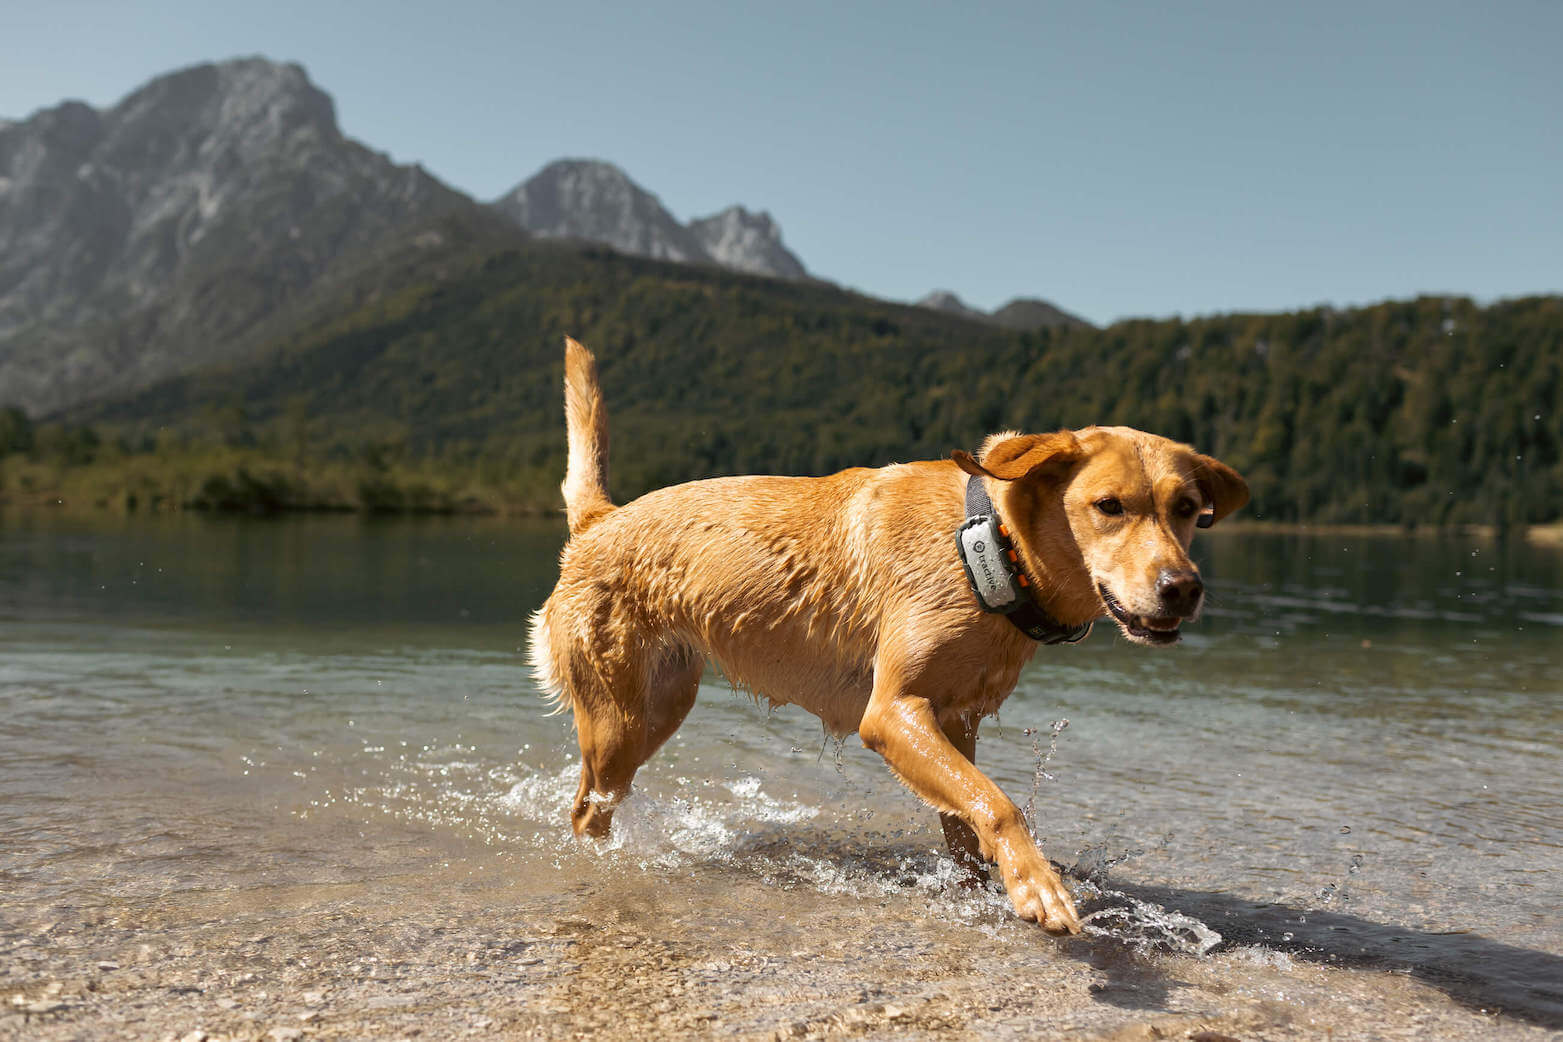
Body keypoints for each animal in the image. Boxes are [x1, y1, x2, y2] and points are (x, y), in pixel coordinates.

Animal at [531, 339, 1250, 931]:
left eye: (1188, 509)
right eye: (1108, 507)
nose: (1183, 589)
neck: (987, 548)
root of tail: (600, 520)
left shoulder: (955, 721)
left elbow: (967, 822)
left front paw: (985, 891)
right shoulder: (892, 712)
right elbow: (998, 805)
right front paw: (1039, 889)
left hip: (663, 705)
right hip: (619, 721)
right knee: (587, 809)